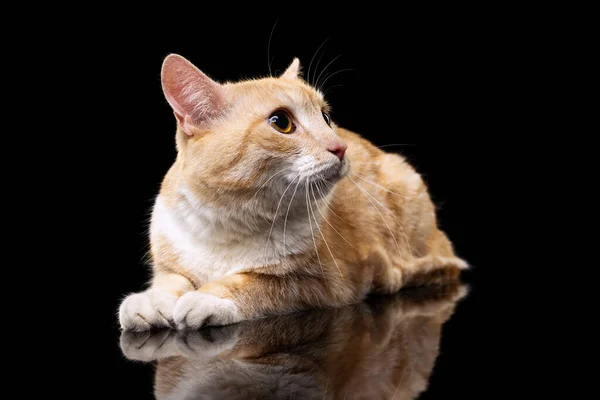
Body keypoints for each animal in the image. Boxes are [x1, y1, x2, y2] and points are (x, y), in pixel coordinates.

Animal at [118, 53, 468, 332]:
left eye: (326, 118)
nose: (340, 147)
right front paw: (151, 301)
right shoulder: (170, 259)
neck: (228, 226)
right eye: (281, 122)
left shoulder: (325, 284)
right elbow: (169, 280)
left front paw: (207, 297)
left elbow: (255, 283)